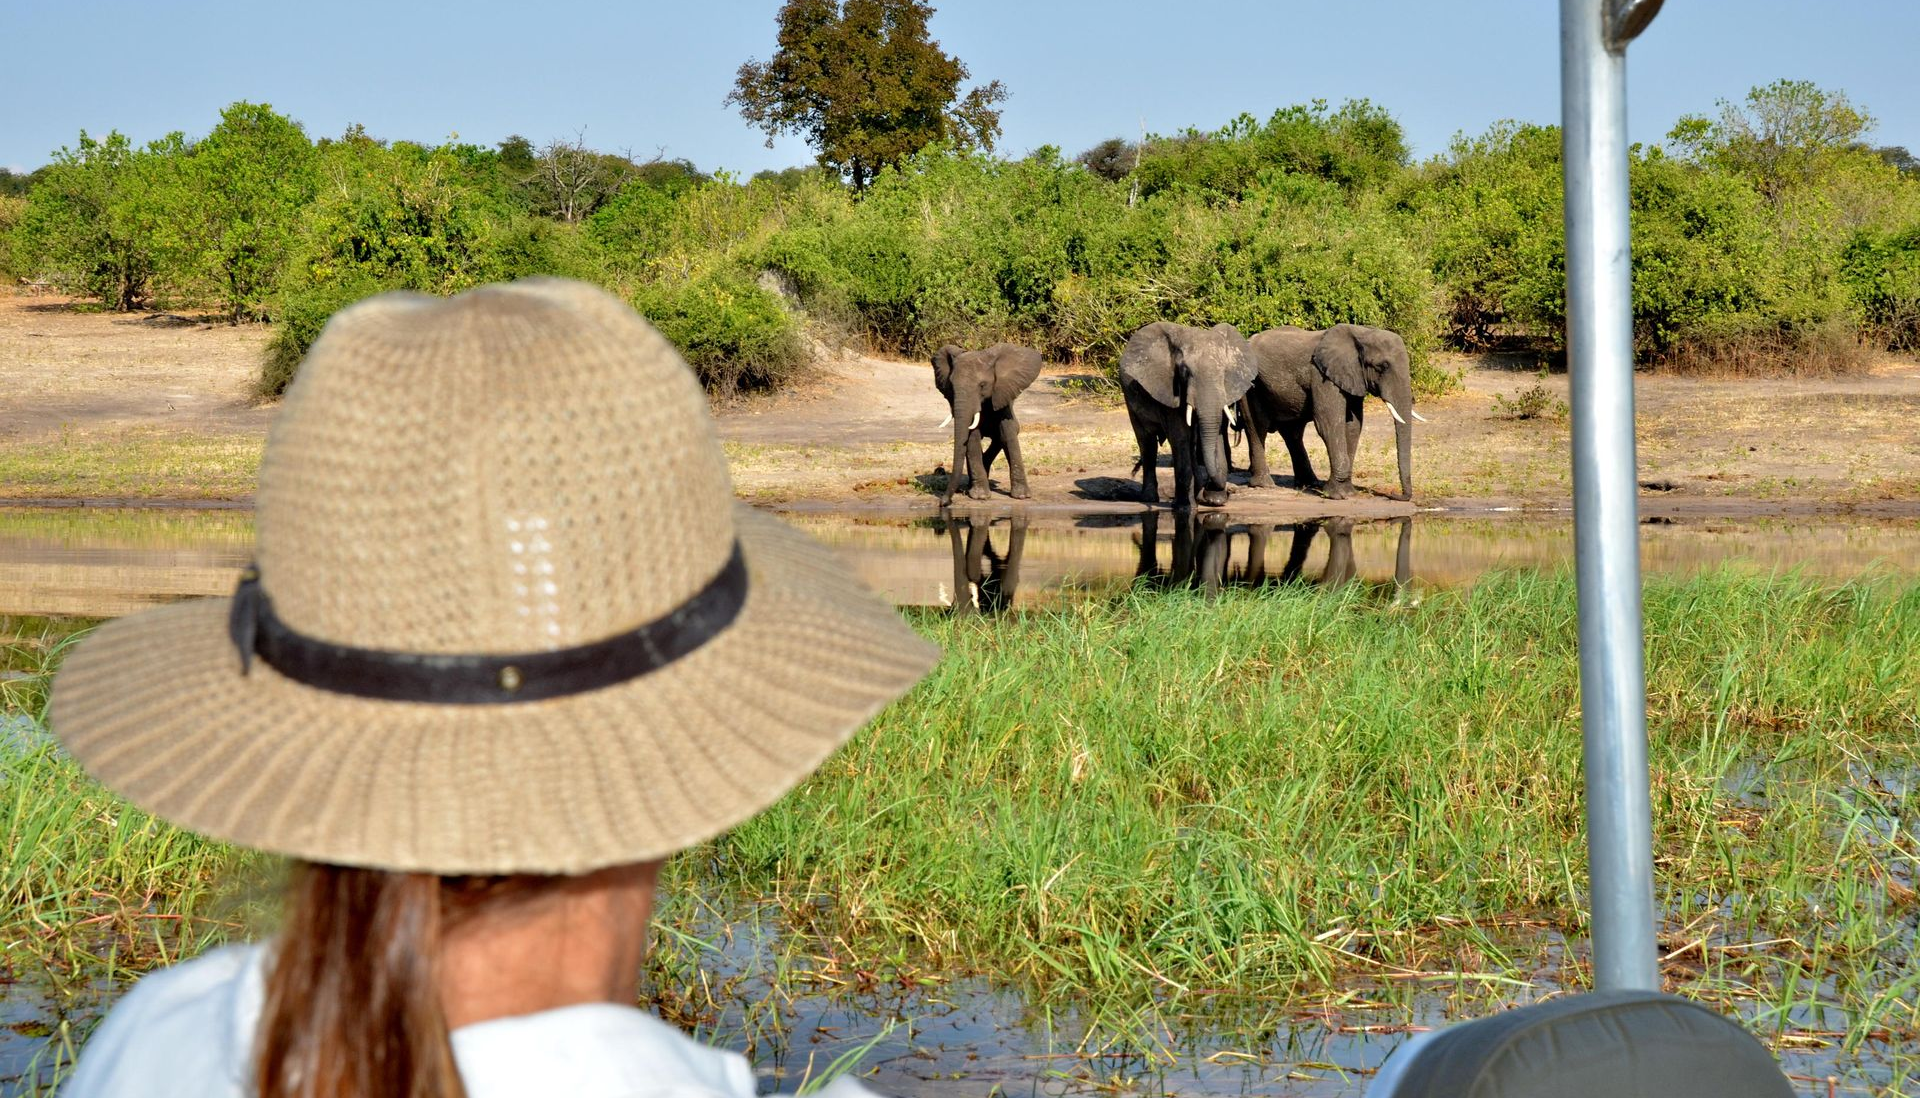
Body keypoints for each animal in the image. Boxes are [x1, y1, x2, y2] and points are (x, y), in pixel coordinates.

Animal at [932, 343, 1043, 502]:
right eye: (951, 386)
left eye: (982, 385)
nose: (943, 503)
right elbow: (972, 438)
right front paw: (980, 496)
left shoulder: (1002, 397)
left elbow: (1008, 435)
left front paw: (1022, 496)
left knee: (1003, 436)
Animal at [1119, 322, 1259, 510]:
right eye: (1185, 372)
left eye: (1224, 372)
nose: (1227, 494)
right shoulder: (1170, 390)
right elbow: (1180, 438)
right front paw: (1185, 508)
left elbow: (1215, 436)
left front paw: (1214, 501)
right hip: (1128, 396)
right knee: (1147, 442)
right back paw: (1150, 498)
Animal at [1237, 324, 1423, 501]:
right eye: (1382, 366)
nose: (1395, 495)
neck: (1361, 332)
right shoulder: (1321, 375)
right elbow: (1328, 423)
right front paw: (1337, 495)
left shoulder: (1351, 377)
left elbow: (1353, 426)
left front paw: (1348, 492)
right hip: (1249, 383)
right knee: (1257, 426)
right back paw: (1264, 485)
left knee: (1293, 432)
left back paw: (1309, 484)